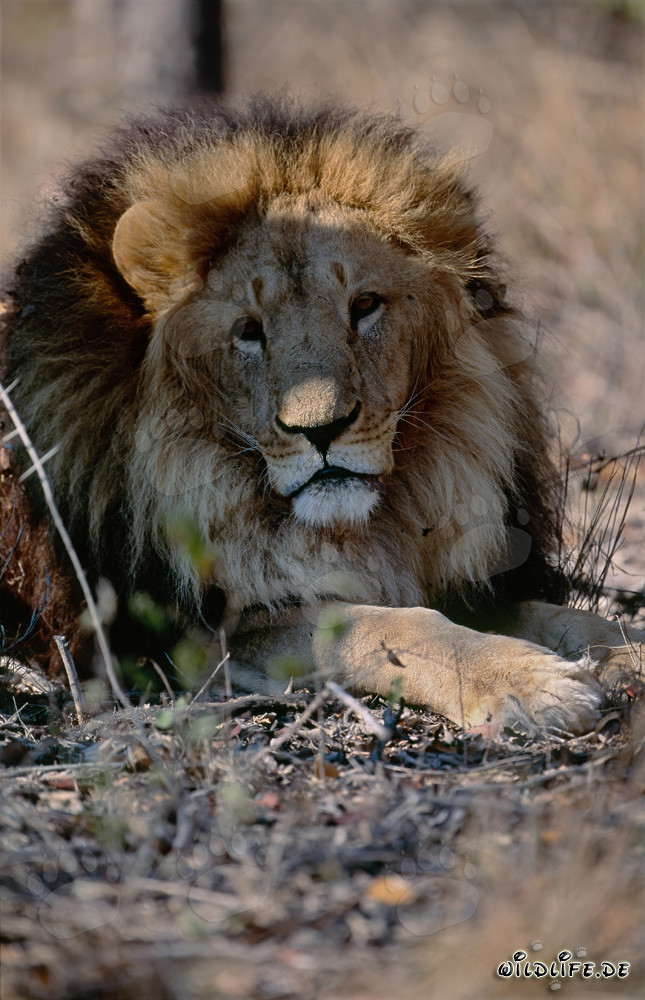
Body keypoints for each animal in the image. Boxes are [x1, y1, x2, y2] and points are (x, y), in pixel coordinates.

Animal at [1, 97, 642, 733]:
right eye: (249, 331)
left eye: (365, 305)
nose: (321, 429)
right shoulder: (197, 637)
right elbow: (387, 626)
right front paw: (528, 682)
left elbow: (564, 616)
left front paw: (625, 651)